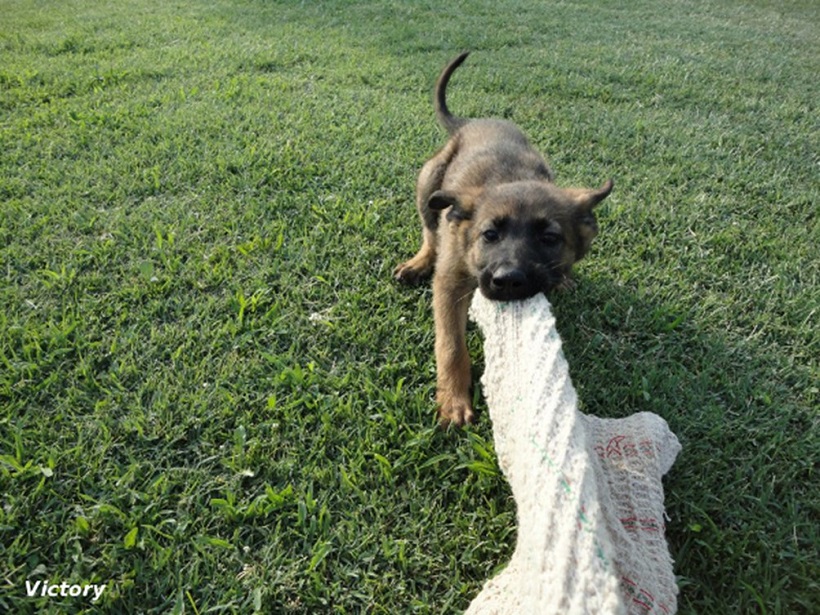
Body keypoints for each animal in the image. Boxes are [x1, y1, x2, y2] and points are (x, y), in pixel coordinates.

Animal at [394, 53, 612, 426]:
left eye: (549, 237)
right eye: (490, 235)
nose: (507, 281)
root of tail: (469, 122)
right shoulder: (450, 280)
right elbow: (451, 345)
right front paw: (454, 399)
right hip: (428, 182)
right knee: (429, 231)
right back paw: (418, 263)